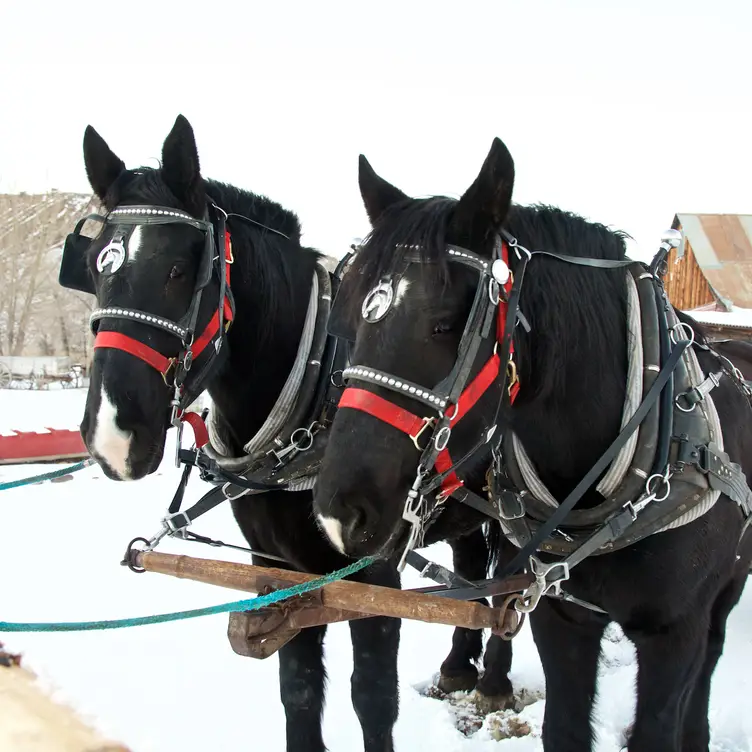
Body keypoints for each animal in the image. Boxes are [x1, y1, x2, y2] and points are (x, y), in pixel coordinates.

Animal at [64, 116, 512, 752]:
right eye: (96, 269)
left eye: (179, 270)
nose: (111, 435)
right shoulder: (274, 566)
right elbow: (297, 689)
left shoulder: (371, 572)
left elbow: (373, 697)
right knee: (473, 563)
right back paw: (458, 667)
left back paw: (493, 679)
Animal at [314, 137, 752, 752]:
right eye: (349, 320)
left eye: (444, 324)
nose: (340, 515)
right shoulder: (561, 620)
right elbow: (563, 728)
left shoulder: (674, 633)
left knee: (712, 651)